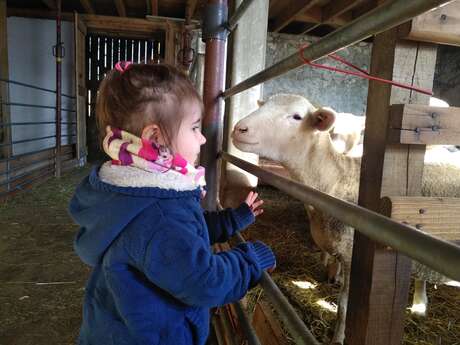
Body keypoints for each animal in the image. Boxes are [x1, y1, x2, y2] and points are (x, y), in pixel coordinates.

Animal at [234, 92, 460, 342]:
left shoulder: (354, 256)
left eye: (297, 117)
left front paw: (338, 338)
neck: (337, 178)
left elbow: (343, 306)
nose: (239, 129)